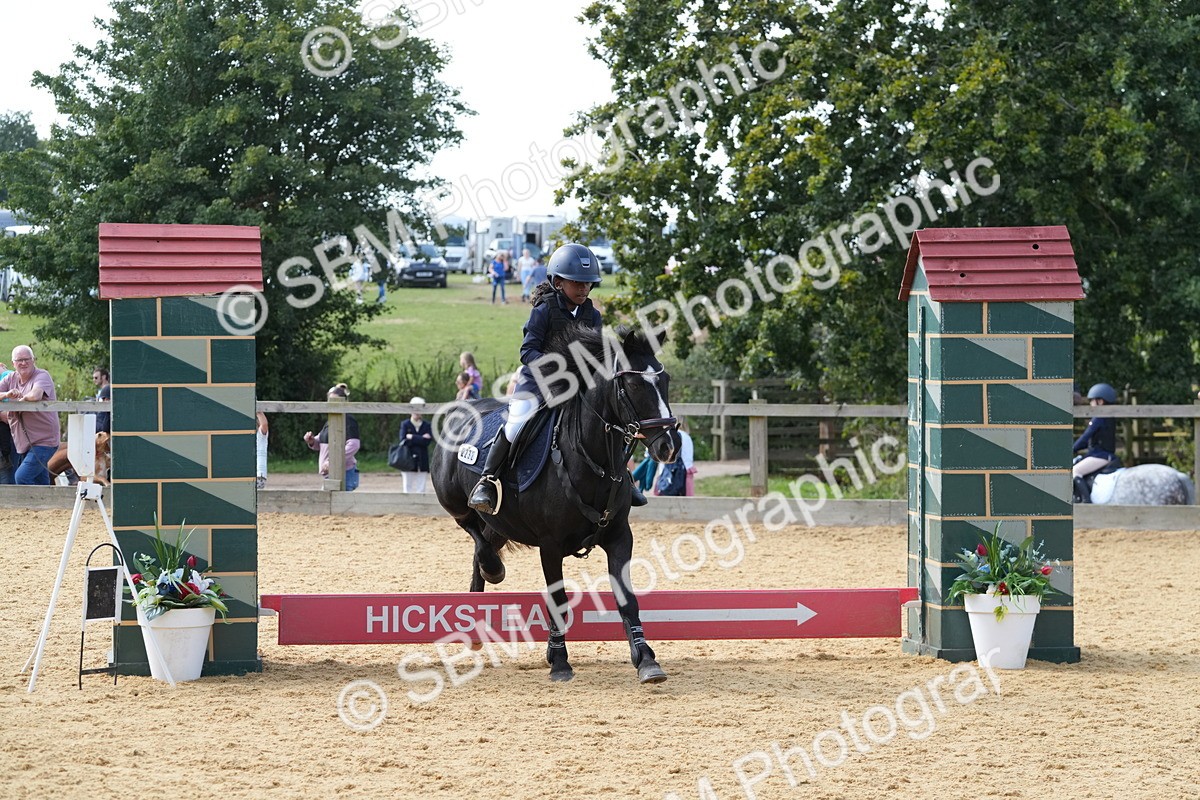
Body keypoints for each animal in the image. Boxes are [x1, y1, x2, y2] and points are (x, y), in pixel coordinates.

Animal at [432, 326, 681, 684]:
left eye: (665, 381)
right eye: (634, 385)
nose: (669, 446)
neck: (591, 458)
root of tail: (461, 410)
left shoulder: (620, 537)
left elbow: (627, 599)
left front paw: (646, 659)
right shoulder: (550, 546)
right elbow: (558, 599)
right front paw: (560, 661)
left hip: (500, 524)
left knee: (481, 548)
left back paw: (478, 624)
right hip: (455, 502)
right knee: (473, 532)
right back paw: (492, 567)